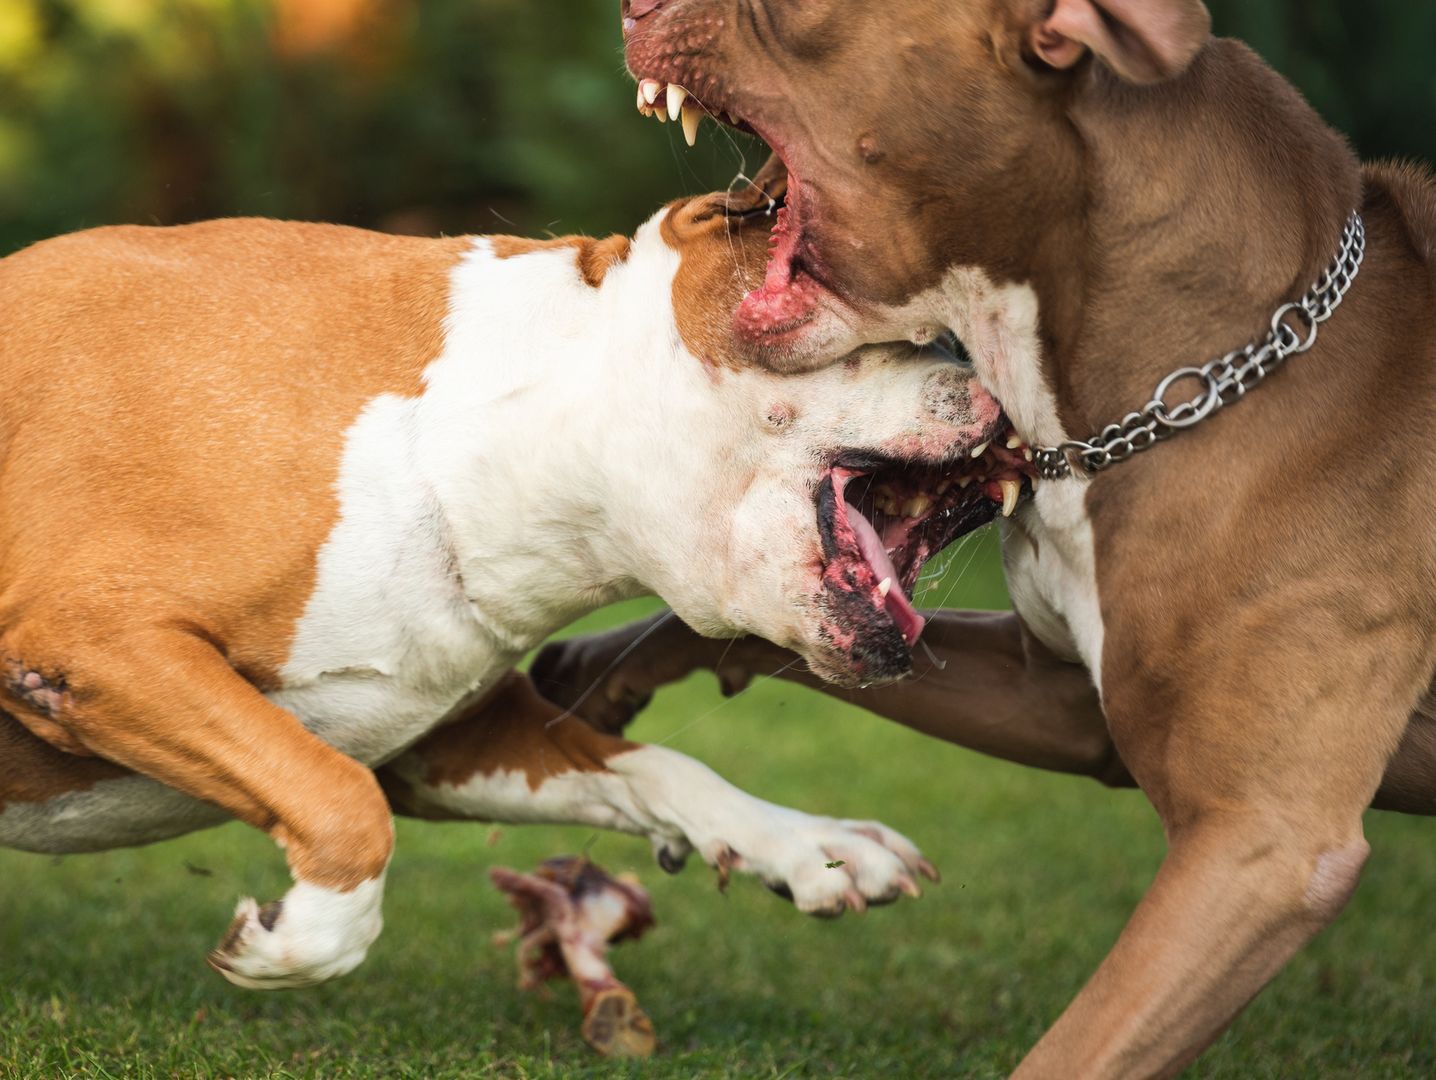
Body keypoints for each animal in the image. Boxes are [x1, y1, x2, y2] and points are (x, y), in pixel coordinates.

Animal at [0, 192, 1022, 1005]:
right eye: (922, 337)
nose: (1007, 404)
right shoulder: (95, 641)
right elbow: (343, 806)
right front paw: (299, 942)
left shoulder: (440, 739)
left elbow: (658, 768)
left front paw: (810, 845)